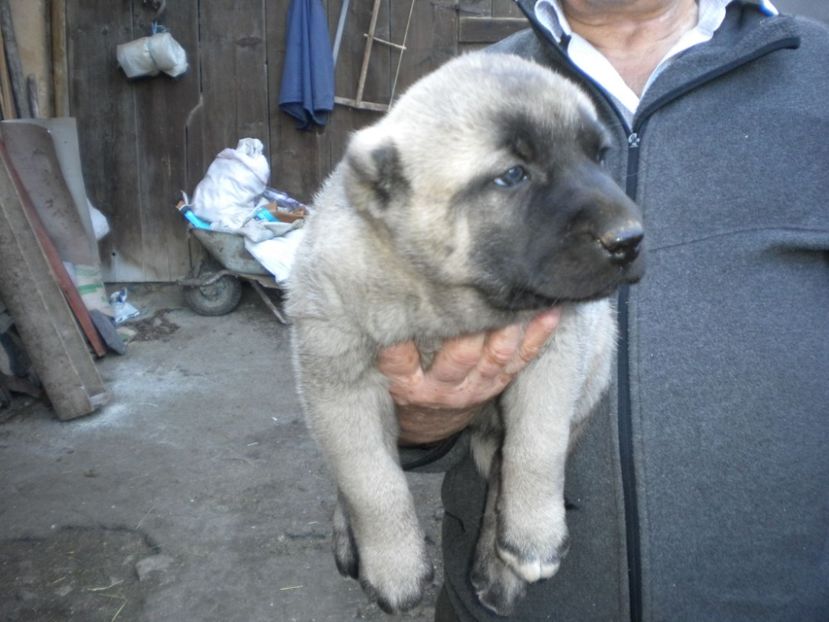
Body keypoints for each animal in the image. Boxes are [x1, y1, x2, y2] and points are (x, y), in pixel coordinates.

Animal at [288, 51, 644, 616]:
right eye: (512, 175)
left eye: (599, 157)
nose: (629, 240)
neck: (451, 303)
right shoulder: (336, 378)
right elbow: (370, 480)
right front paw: (394, 568)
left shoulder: (557, 355)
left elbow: (536, 448)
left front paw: (535, 537)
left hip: (595, 368)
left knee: (505, 474)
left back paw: (501, 569)